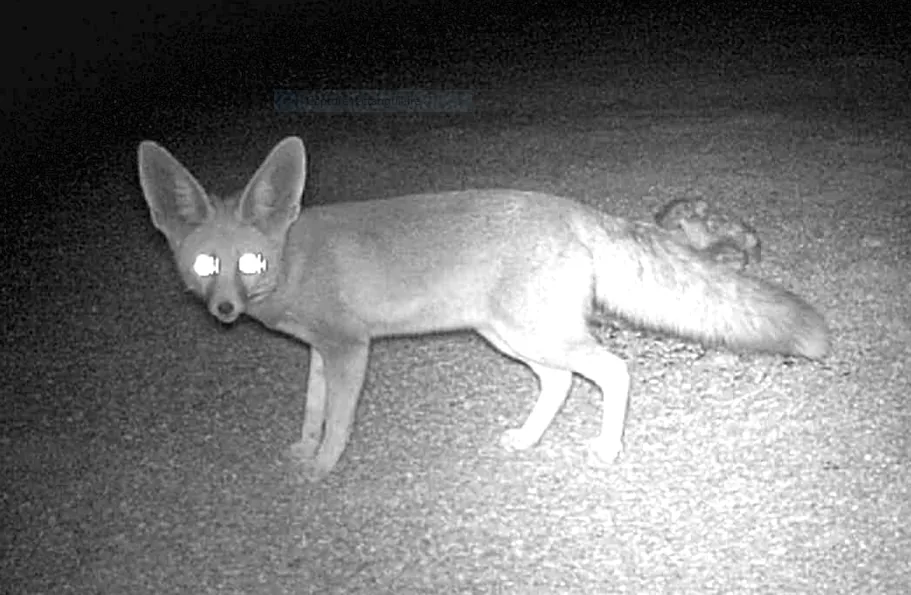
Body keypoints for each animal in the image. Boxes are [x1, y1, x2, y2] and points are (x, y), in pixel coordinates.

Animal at [138, 136, 829, 480]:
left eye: (250, 263)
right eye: (207, 266)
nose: (225, 310)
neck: (294, 257)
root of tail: (570, 208)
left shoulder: (348, 348)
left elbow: (337, 423)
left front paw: (323, 470)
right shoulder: (318, 352)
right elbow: (312, 414)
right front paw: (304, 455)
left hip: (535, 334)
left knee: (613, 372)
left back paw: (607, 448)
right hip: (511, 337)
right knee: (560, 383)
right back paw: (527, 437)